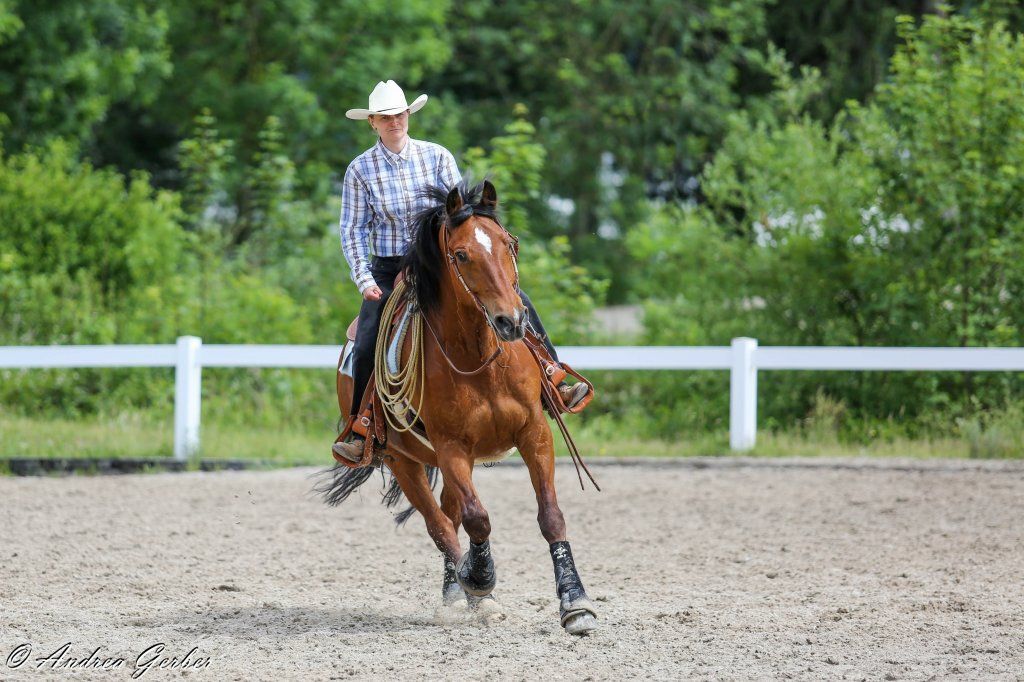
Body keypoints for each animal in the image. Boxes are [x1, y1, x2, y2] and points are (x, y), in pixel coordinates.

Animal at [319, 179, 598, 635]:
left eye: (509, 244)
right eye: (462, 254)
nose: (511, 322)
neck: (479, 360)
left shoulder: (535, 433)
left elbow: (550, 516)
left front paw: (575, 603)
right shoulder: (451, 447)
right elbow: (477, 519)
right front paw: (479, 579)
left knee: (449, 516)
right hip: (404, 460)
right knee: (440, 525)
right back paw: (464, 594)